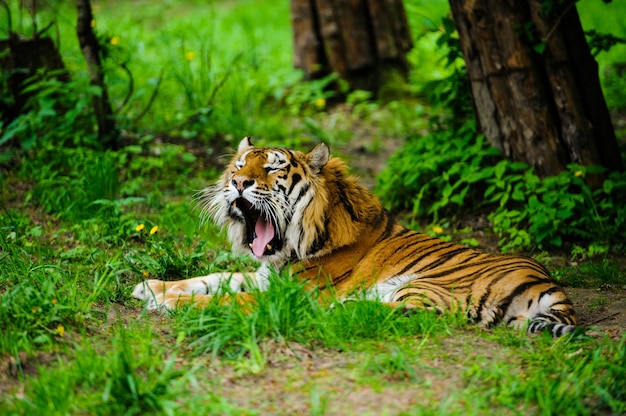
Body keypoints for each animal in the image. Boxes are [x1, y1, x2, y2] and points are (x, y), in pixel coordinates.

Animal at [132, 137, 576, 338]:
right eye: (240, 165)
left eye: (273, 168)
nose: (238, 183)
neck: (290, 248)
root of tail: (549, 281)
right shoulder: (265, 276)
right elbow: (211, 279)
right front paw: (152, 287)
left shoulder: (293, 291)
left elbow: (227, 297)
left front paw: (172, 303)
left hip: (426, 286)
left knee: (399, 314)